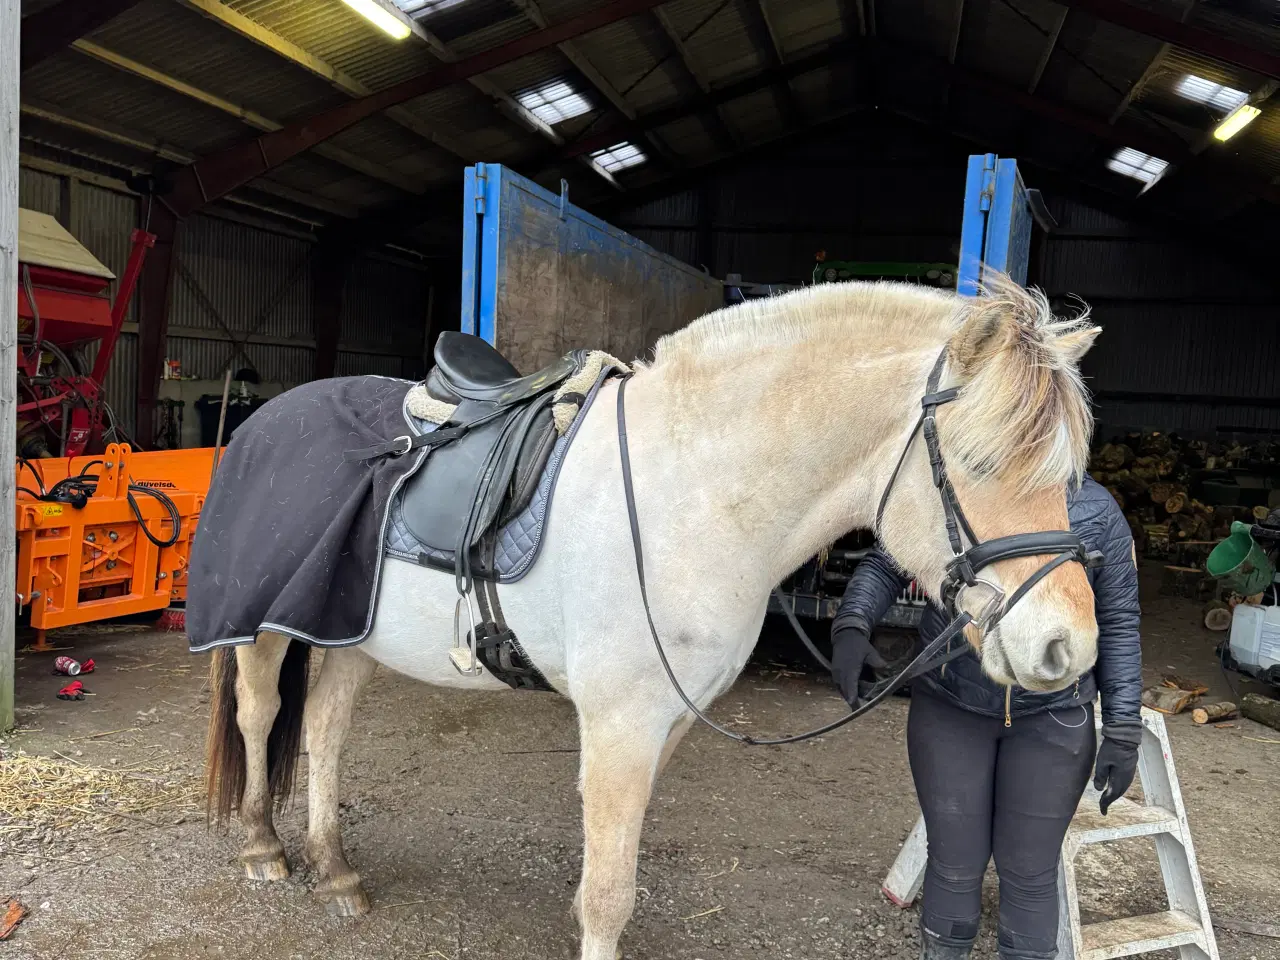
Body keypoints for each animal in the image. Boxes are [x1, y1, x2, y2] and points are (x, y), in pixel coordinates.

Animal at [202, 277, 1100, 960]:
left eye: (1069, 470)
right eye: (978, 459)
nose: (1069, 647)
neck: (692, 487)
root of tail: (264, 420)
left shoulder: (670, 719)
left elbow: (611, 879)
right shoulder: (620, 724)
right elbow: (609, 894)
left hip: (350, 631)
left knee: (324, 729)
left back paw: (336, 871)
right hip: (265, 628)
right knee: (261, 712)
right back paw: (263, 848)